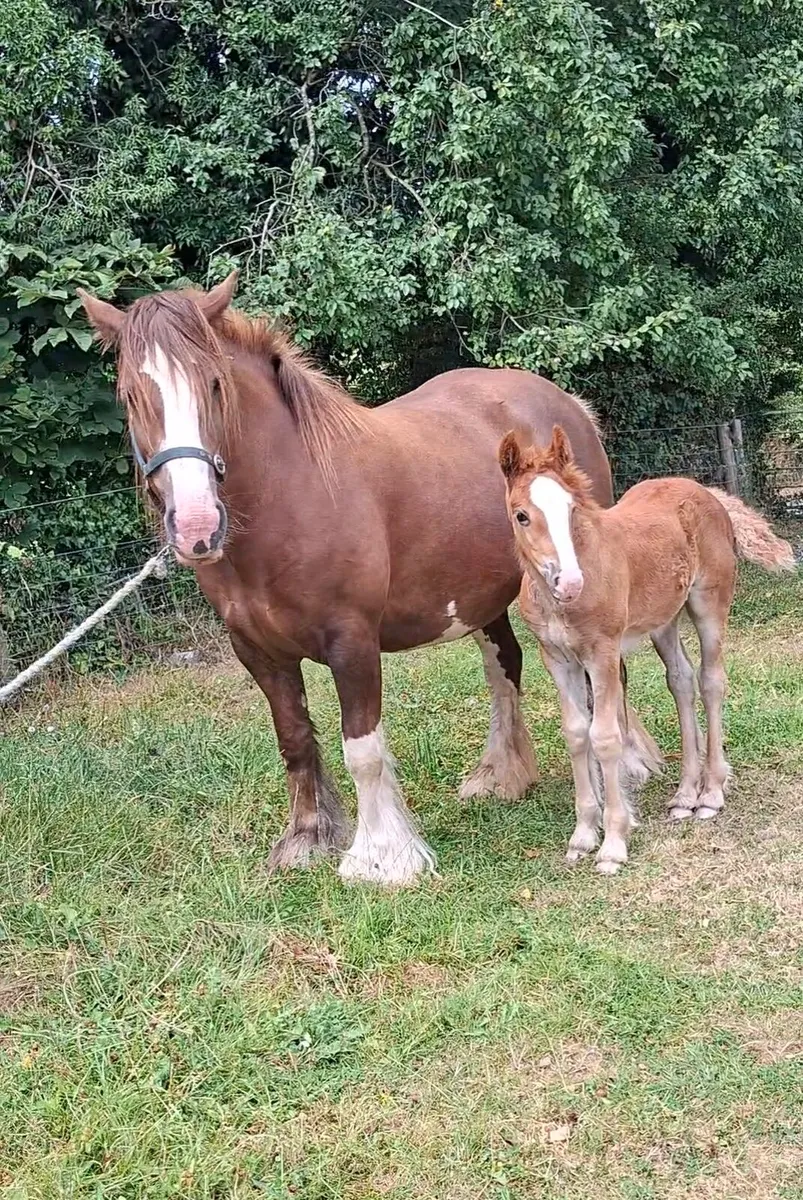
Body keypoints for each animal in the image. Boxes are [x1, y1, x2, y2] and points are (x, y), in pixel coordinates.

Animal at [77, 270, 624, 887]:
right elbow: (294, 740)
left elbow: (362, 750)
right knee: (503, 664)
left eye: (214, 385)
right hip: (484, 599)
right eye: (129, 395)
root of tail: (565, 405)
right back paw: (502, 774)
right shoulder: (257, 652)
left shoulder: (352, 643)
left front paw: (382, 857)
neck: (293, 496)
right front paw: (307, 838)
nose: (196, 526)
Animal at [499, 424, 796, 875]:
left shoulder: (603, 653)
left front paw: (613, 844)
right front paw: (582, 836)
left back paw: (711, 794)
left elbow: (606, 737)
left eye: (571, 510)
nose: (570, 583)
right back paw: (685, 795)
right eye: (522, 515)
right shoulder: (557, 659)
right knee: (682, 681)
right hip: (663, 621)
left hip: (709, 603)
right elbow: (576, 734)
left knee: (712, 680)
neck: (559, 604)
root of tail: (706, 491)